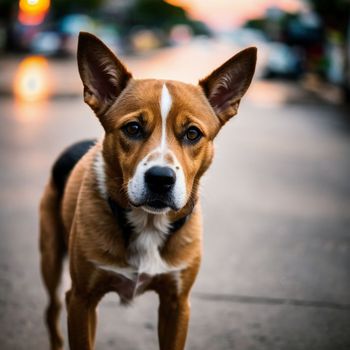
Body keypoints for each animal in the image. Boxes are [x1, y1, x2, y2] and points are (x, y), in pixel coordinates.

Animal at [39, 31, 258, 348]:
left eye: (193, 134)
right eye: (132, 128)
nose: (160, 179)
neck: (148, 223)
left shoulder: (177, 305)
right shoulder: (80, 300)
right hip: (51, 259)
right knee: (51, 309)